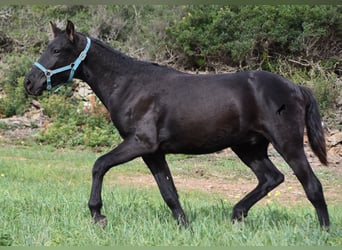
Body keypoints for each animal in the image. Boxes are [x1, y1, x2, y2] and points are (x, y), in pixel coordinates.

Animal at [23, 21, 328, 229]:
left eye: (57, 50)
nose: (29, 83)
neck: (130, 85)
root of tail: (296, 88)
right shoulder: (153, 152)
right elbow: (169, 192)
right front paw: (185, 226)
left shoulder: (140, 143)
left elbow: (99, 165)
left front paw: (98, 214)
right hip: (248, 148)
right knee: (271, 178)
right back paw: (236, 215)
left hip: (287, 143)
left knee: (311, 185)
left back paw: (323, 231)